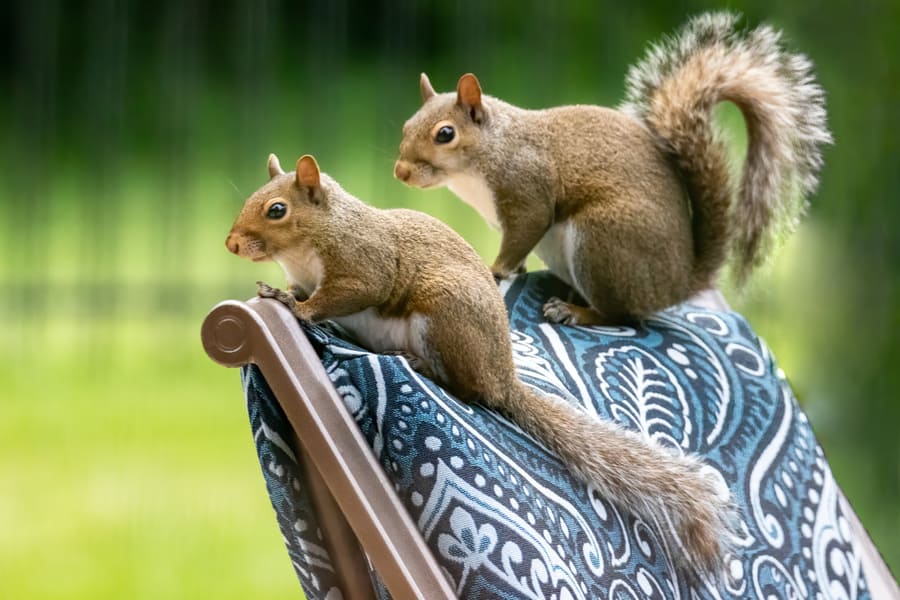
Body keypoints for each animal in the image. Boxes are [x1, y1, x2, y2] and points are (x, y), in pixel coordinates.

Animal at [225, 152, 740, 580]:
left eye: (276, 210)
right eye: (250, 198)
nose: (230, 244)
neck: (314, 242)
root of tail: (502, 375)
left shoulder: (364, 266)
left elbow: (341, 296)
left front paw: (293, 306)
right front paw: (278, 292)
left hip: (444, 314)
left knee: (469, 389)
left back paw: (421, 364)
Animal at [394, 11, 828, 326]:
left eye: (445, 134)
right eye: (406, 125)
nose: (400, 173)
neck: (487, 155)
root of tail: (676, 283)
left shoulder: (527, 189)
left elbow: (524, 232)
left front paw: (496, 270)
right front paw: (513, 268)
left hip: (603, 241)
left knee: (620, 315)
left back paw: (575, 311)